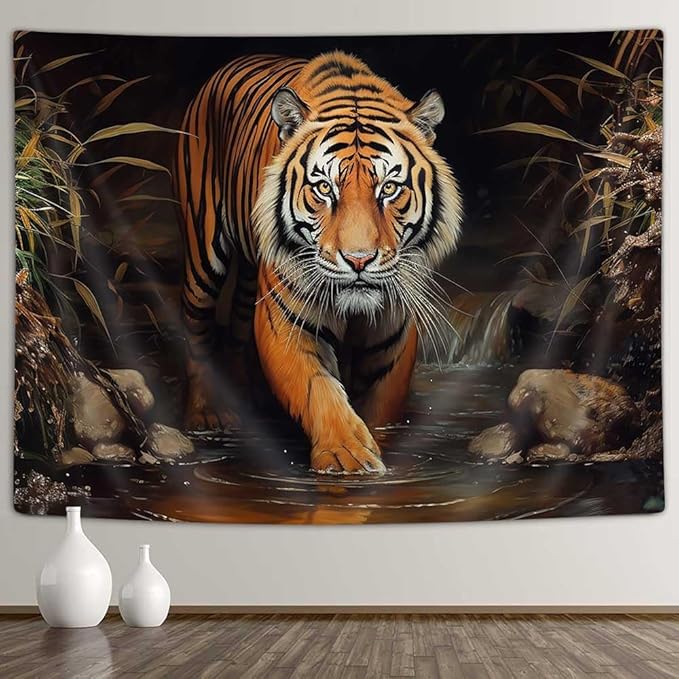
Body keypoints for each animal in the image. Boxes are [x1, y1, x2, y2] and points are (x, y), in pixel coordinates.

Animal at [175, 50, 462, 474]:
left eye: (389, 188)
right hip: (203, 254)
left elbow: (380, 407)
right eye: (325, 188)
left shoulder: (391, 335)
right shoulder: (288, 320)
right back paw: (204, 415)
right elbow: (319, 390)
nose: (359, 260)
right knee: (195, 330)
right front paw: (348, 456)